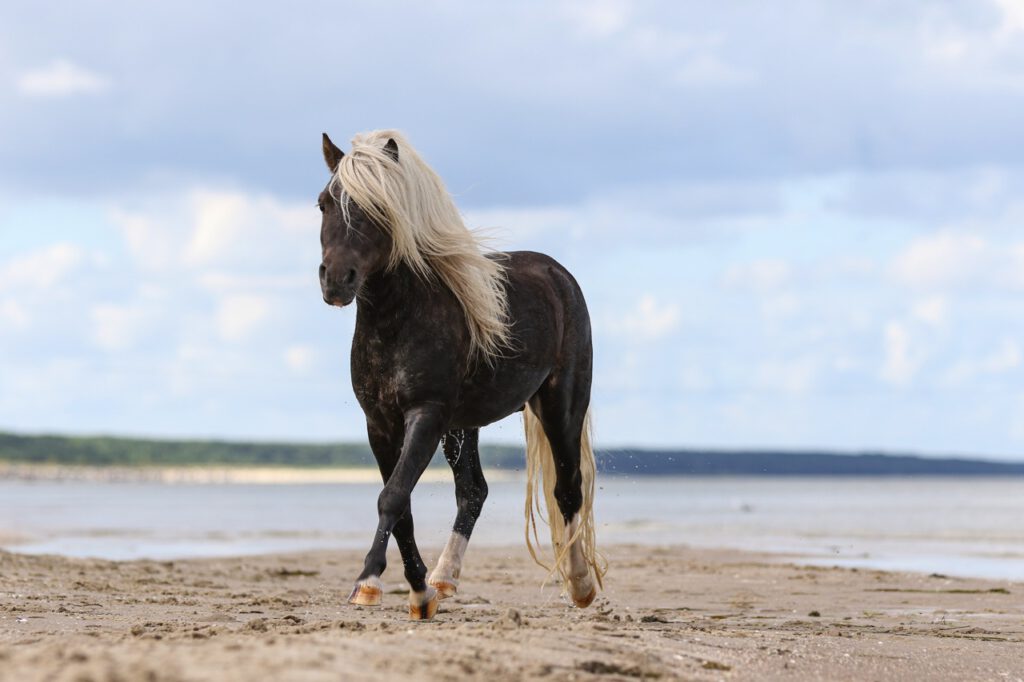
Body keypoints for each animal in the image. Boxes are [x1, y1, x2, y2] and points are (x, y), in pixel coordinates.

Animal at [317, 127, 606, 614]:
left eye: (378, 208)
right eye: (323, 202)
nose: (337, 279)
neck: (399, 319)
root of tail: (559, 274)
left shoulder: (425, 415)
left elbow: (393, 496)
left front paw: (368, 582)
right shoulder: (380, 424)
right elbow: (402, 507)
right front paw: (418, 591)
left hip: (560, 407)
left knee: (568, 487)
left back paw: (581, 584)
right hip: (462, 426)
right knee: (474, 491)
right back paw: (444, 576)